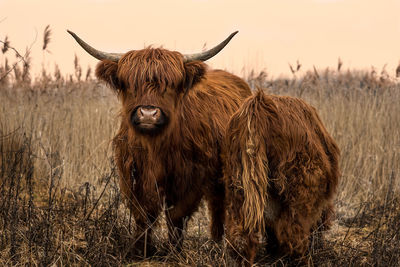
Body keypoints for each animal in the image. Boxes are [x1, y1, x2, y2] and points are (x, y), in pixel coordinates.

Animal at [68, 30, 250, 258]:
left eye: (170, 86)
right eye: (130, 85)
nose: (148, 113)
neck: (154, 147)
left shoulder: (190, 179)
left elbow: (176, 216)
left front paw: (173, 252)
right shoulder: (132, 174)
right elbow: (143, 214)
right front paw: (140, 250)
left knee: (221, 205)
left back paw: (220, 244)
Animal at [223, 89, 340, 266]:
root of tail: (258, 104)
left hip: (237, 183)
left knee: (240, 233)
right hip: (300, 187)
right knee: (293, 233)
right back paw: (303, 260)